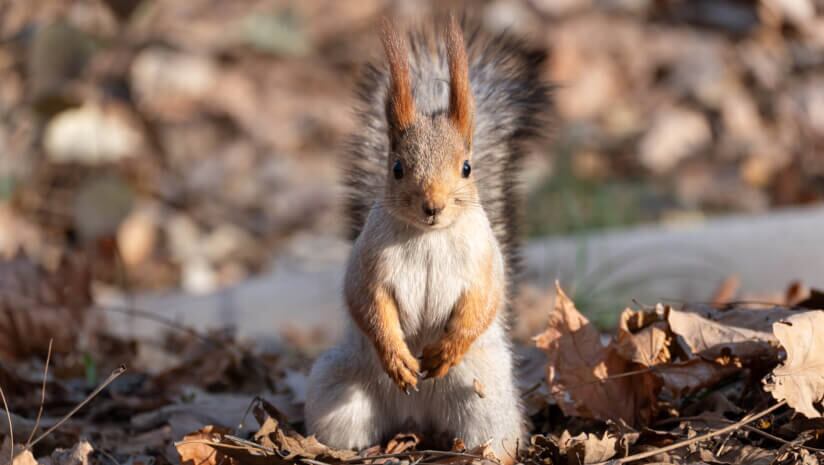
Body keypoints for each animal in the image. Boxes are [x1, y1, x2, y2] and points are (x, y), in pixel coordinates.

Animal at [305, 14, 551, 462]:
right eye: (397, 167)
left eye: (467, 167)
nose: (432, 205)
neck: (428, 237)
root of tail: (418, 419)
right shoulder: (368, 263)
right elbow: (368, 304)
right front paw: (397, 356)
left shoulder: (484, 261)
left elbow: (484, 302)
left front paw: (449, 347)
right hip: (339, 393)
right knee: (344, 429)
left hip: (487, 404)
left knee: (491, 436)